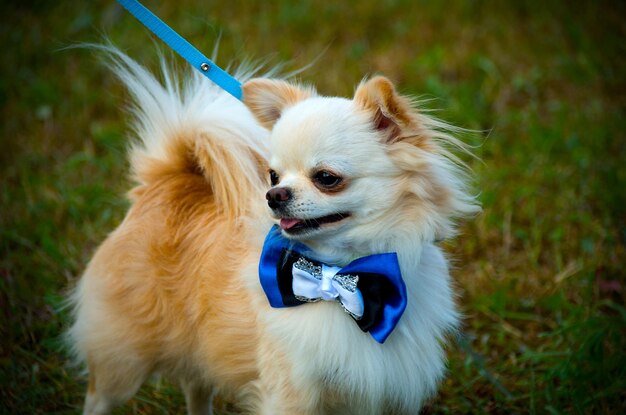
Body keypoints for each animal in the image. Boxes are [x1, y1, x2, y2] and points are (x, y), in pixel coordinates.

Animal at [68, 47, 478, 414]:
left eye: (326, 178)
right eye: (273, 175)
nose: (274, 195)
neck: (341, 272)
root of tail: (168, 180)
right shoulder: (289, 393)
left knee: (196, 387)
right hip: (123, 362)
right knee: (100, 397)